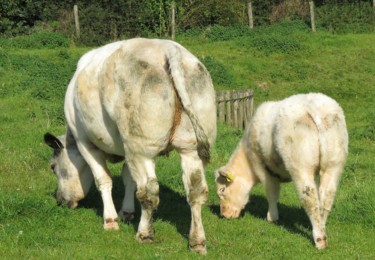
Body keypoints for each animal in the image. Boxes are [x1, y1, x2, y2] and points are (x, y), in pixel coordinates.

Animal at [44, 38, 217, 254]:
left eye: (53, 167)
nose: (60, 200)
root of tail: (167, 48)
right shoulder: (129, 148)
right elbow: (129, 179)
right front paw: (126, 212)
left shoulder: (86, 143)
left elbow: (104, 180)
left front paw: (111, 220)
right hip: (188, 147)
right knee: (196, 191)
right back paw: (197, 241)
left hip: (141, 148)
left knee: (149, 191)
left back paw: (144, 234)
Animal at [216, 93, 348, 250]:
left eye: (222, 190)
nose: (224, 214)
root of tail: (315, 106)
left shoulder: (263, 169)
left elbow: (272, 194)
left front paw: (272, 217)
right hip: (333, 164)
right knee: (326, 195)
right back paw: (321, 225)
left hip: (300, 165)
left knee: (309, 197)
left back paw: (319, 238)